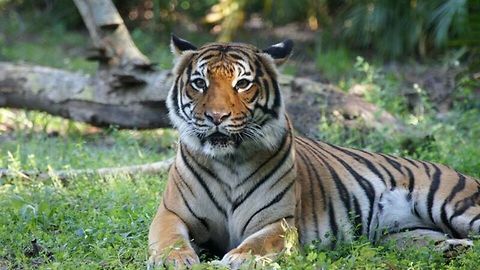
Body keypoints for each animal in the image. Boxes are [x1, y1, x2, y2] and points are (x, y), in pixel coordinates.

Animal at [147, 35, 480, 268]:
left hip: (453, 204)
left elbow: (258, 243)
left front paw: (239, 258)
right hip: (401, 234)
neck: (228, 162)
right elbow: (168, 237)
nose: (216, 117)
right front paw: (172, 260)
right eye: (199, 83)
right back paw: (453, 250)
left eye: (242, 83)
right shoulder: (172, 211)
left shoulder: (278, 223)